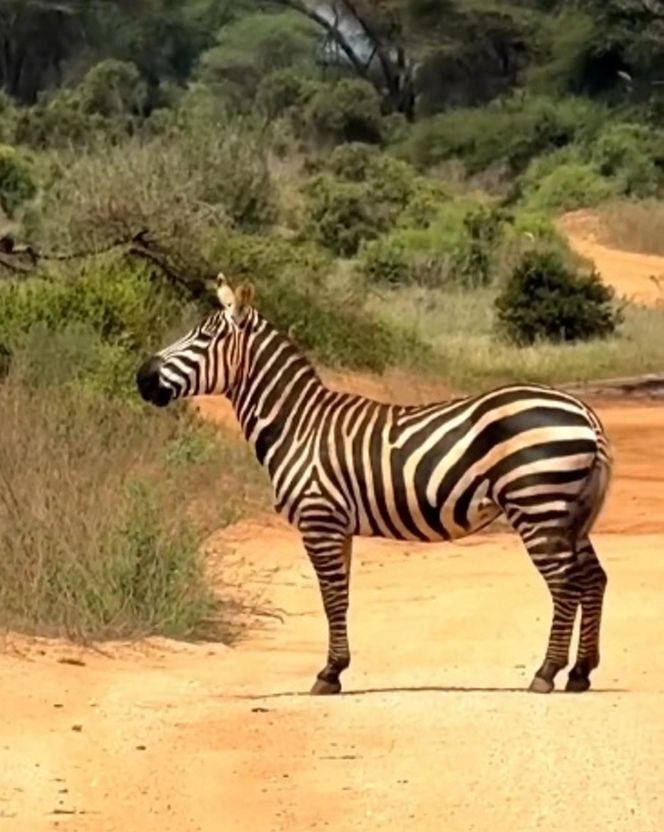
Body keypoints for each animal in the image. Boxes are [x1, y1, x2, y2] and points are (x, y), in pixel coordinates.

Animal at [135, 278, 612, 696]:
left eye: (202, 338)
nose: (142, 377)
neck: (297, 425)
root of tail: (584, 412)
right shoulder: (338, 525)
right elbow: (342, 597)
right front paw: (337, 669)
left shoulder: (319, 519)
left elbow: (330, 598)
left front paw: (328, 674)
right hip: (569, 512)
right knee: (593, 579)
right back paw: (580, 673)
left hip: (537, 504)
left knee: (566, 584)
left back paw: (547, 673)